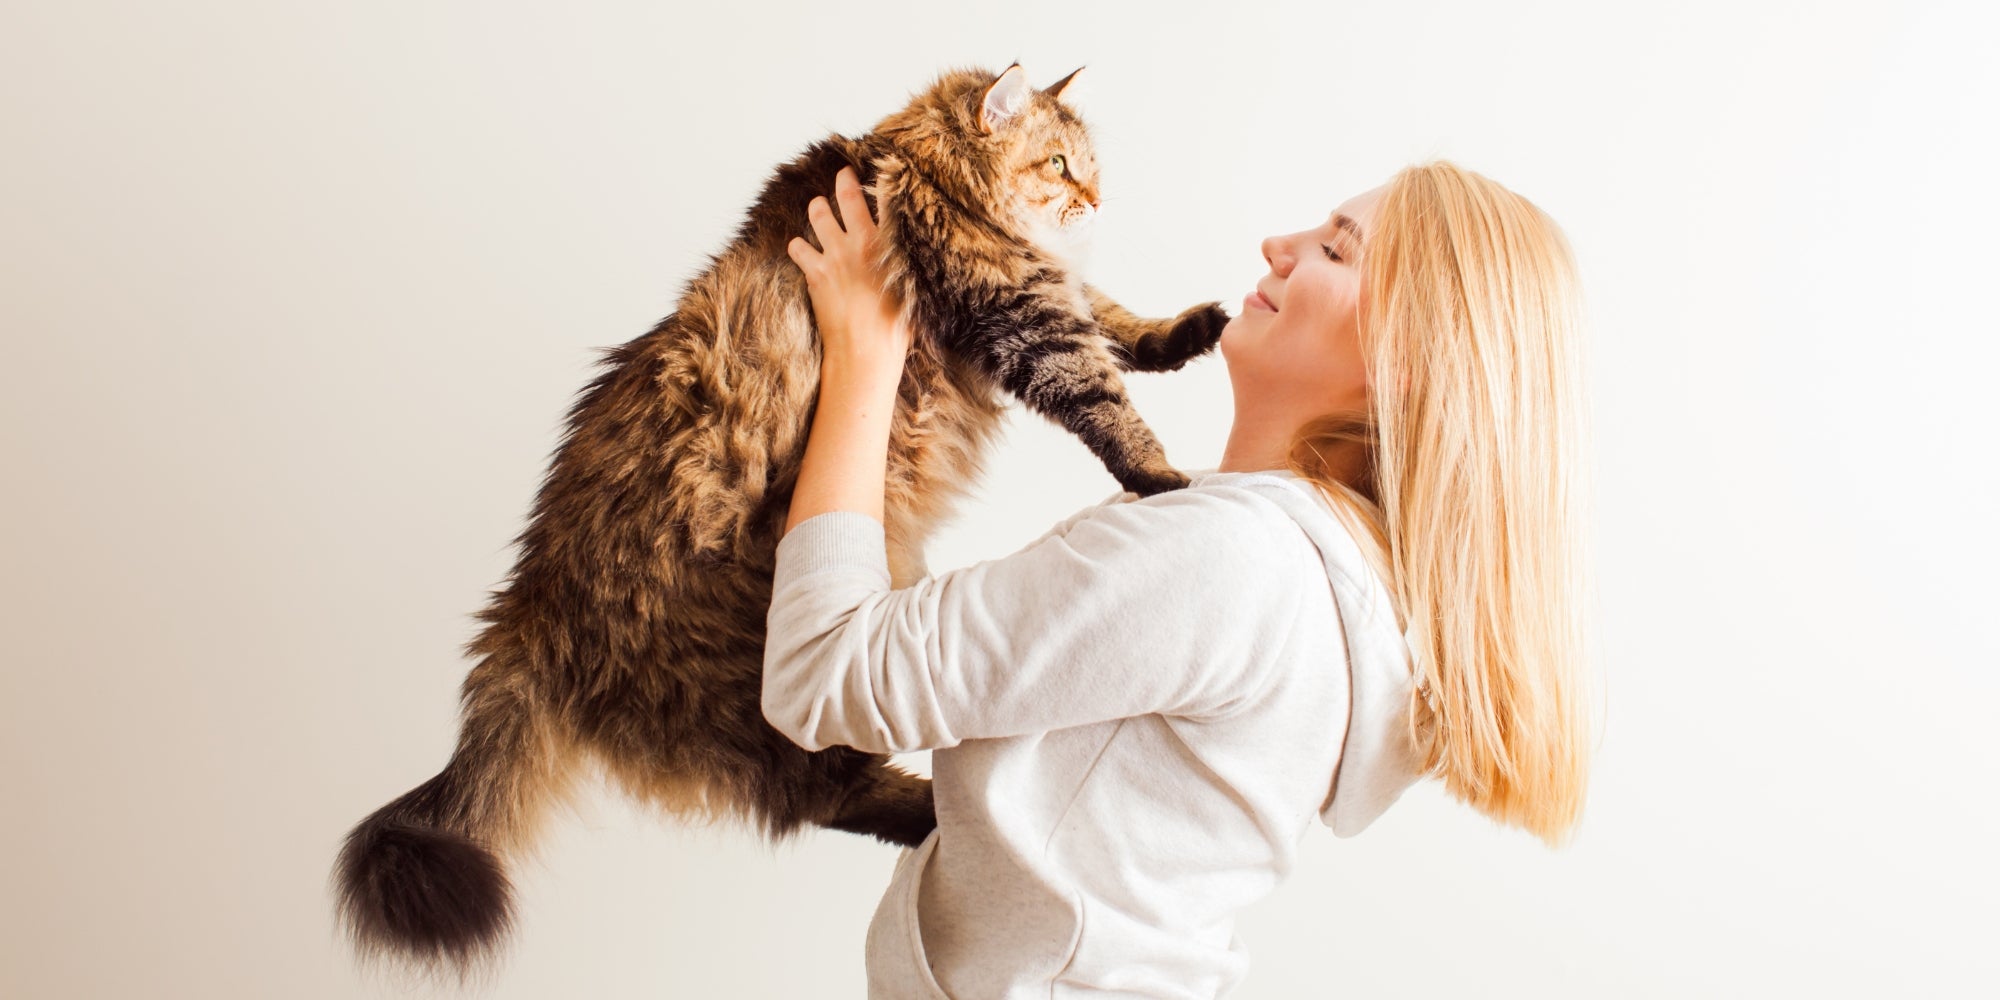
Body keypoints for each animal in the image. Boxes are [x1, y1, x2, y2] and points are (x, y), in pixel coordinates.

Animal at [336, 62, 1224, 976]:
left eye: (1088, 167)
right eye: (1057, 165)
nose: (1097, 200)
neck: (923, 175)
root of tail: (528, 604)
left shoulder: (1050, 290)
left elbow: (1117, 320)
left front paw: (1183, 335)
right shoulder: (1020, 313)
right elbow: (1106, 398)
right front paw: (1164, 479)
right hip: (765, 688)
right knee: (820, 795)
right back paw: (937, 816)